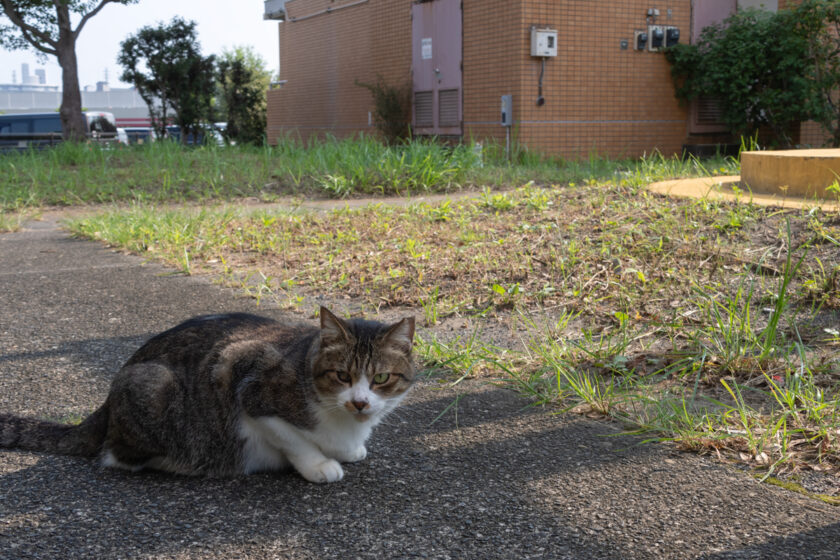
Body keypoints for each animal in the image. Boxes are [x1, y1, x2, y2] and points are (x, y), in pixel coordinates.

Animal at [1, 306, 416, 482]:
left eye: (381, 377)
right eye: (342, 375)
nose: (359, 402)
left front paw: (349, 449)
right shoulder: (242, 376)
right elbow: (292, 439)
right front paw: (319, 465)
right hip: (152, 385)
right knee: (114, 454)